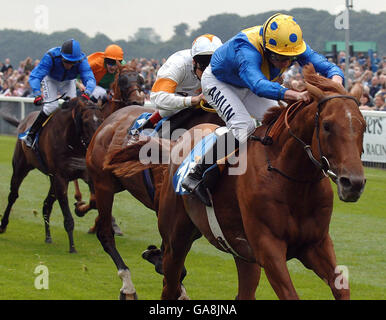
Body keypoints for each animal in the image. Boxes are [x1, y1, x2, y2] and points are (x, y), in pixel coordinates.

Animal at [0, 97, 104, 252]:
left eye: (102, 120)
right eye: (85, 122)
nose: (96, 143)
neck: (72, 142)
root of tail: (24, 121)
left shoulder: (85, 174)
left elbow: (95, 202)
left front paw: (80, 209)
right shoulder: (61, 178)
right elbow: (68, 218)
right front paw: (72, 247)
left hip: (52, 179)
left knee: (46, 204)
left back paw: (48, 237)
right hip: (21, 167)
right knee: (13, 195)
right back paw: (3, 225)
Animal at [84, 105, 223, 300]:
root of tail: (109, 120)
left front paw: (154, 256)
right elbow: (172, 265)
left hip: (117, 183)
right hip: (104, 185)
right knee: (105, 233)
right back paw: (127, 285)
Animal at [107, 63, 366, 298]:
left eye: (363, 125)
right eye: (327, 125)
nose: (353, 183)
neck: (292, 181)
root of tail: (176, 143)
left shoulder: (316, 244)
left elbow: (341, 287)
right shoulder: (269, 249)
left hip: (242, 254)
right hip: (176, 239)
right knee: (170, 284)